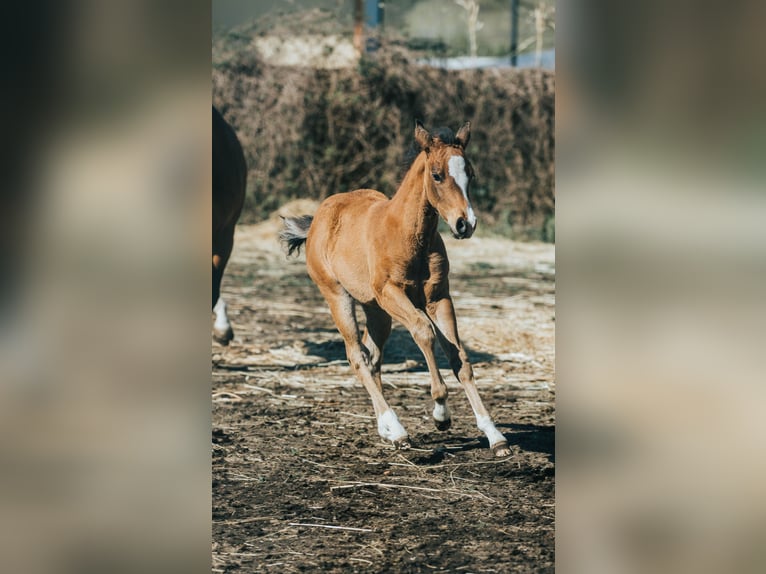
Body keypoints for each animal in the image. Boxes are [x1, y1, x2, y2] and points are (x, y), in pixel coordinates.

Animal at [281, 120, 511, 457]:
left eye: (470, 173)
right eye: (437, 175)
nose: (465, 224)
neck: (409, 234)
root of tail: (318, 218)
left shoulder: (438, 298)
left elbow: (460, 358)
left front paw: (495, 436)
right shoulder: (393, 293)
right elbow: (423, 333)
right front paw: (441, 412)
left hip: (377, 310)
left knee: (373, 357)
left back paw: (387, 430)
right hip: (338, 297)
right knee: (357, 355)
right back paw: (398, 430)